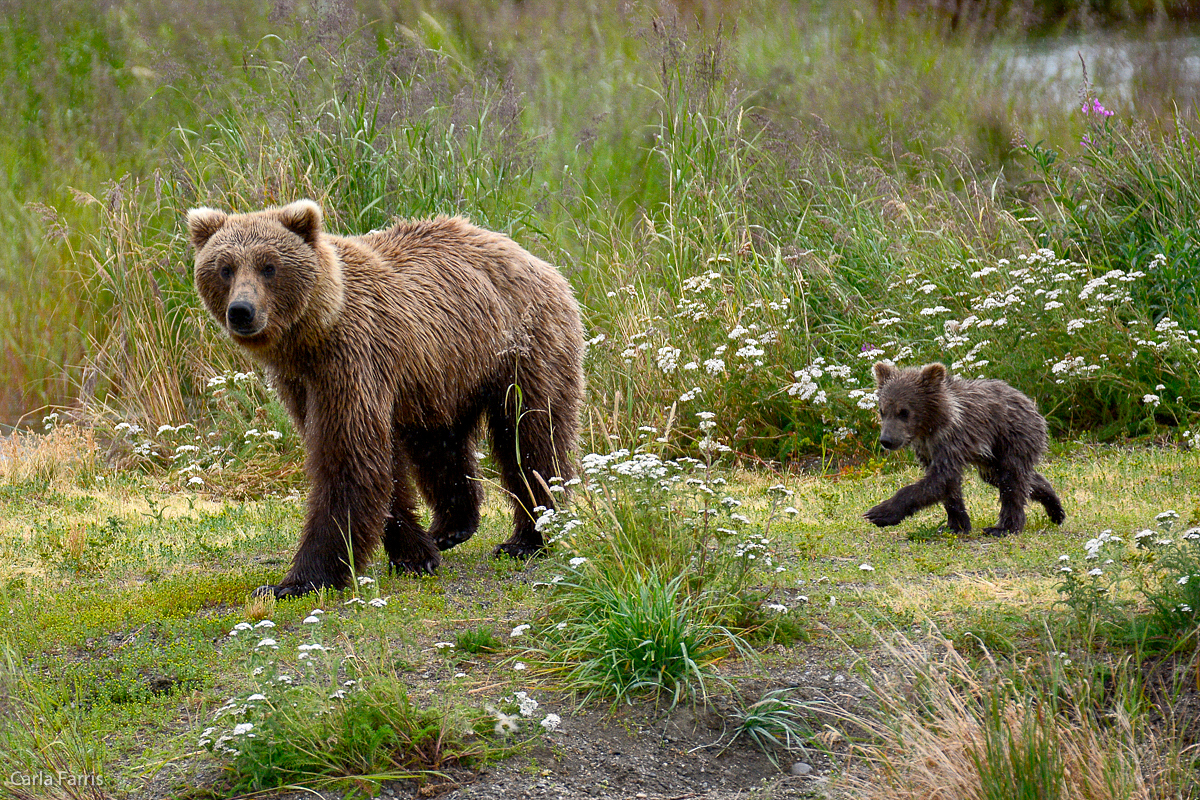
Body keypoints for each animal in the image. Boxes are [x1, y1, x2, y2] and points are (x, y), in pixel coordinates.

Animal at [184, 203, 583, 597]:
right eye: (224, 268)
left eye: (269, 266)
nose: (241, 311)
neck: (313, 335)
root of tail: (536, 259)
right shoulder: (301, 384)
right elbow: (382, 468)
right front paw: (415, 554)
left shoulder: (352, 361)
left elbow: (348, 460)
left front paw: (297, 581)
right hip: (441, 373)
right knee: (439, 444)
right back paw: (449, 527)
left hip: (519, 346)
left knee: (530, 435)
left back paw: (529, 538)